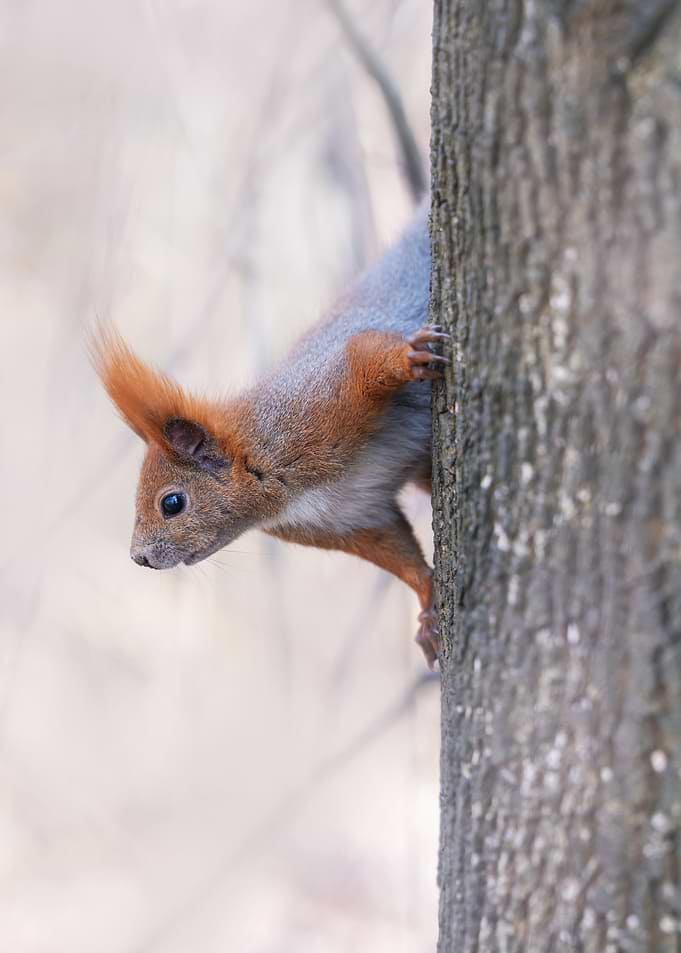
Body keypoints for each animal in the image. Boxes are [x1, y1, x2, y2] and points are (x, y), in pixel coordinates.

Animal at [92, 202, 449, 666]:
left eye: (172, 503)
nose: (139, 558)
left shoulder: (322, 399)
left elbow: (364, 354)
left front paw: (409, 357)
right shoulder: (353, 520)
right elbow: (398, 552)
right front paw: (426, 606)